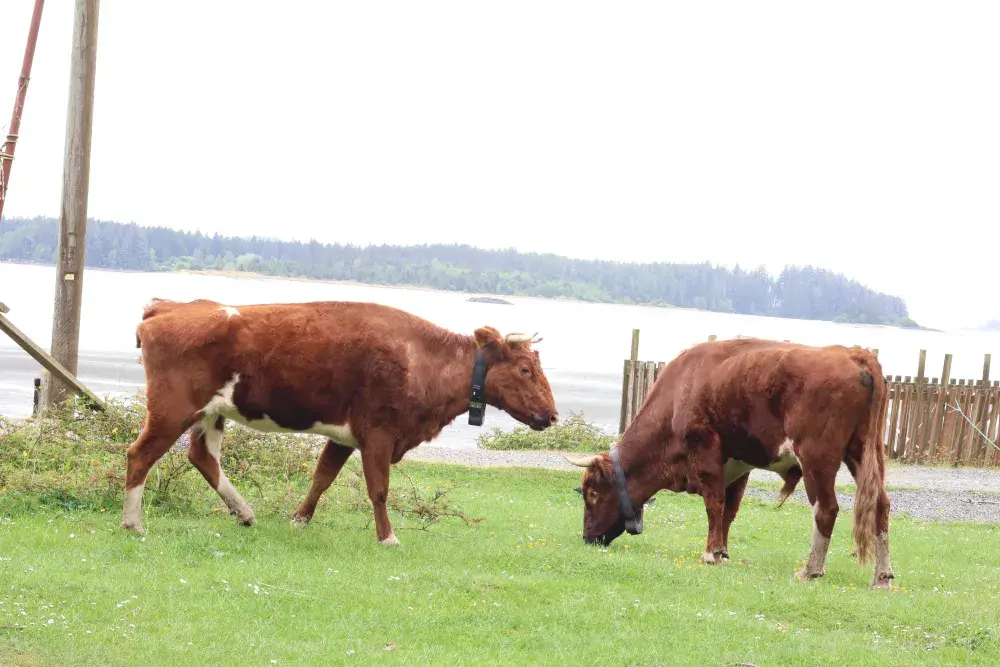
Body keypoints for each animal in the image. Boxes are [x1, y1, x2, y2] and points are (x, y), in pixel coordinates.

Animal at [124, 297, 559, 545]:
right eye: (524, 369)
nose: (552, 415)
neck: (422, 358)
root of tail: (170, 306)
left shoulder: (347, 436)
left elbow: (322, 477)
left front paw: (300, 520)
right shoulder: (379, 433)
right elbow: (379, 489)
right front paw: (387, 537)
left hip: (210, 414)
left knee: (202, 457)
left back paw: (244, 513)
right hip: (172, 409)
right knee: (140, 455)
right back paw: (134, 524)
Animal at [565, 337, 895, 590]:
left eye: (592, 493)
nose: (587, 538)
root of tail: (854, 353)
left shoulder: (705, 448)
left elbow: (714, 504)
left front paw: (710, 553)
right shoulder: (739, 466)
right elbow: (729, 510)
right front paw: (722, 551)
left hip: (817, 458)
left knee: (826, 509)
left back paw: (810, 570)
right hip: (863, 453)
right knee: (880, 505)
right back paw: (882, 576)